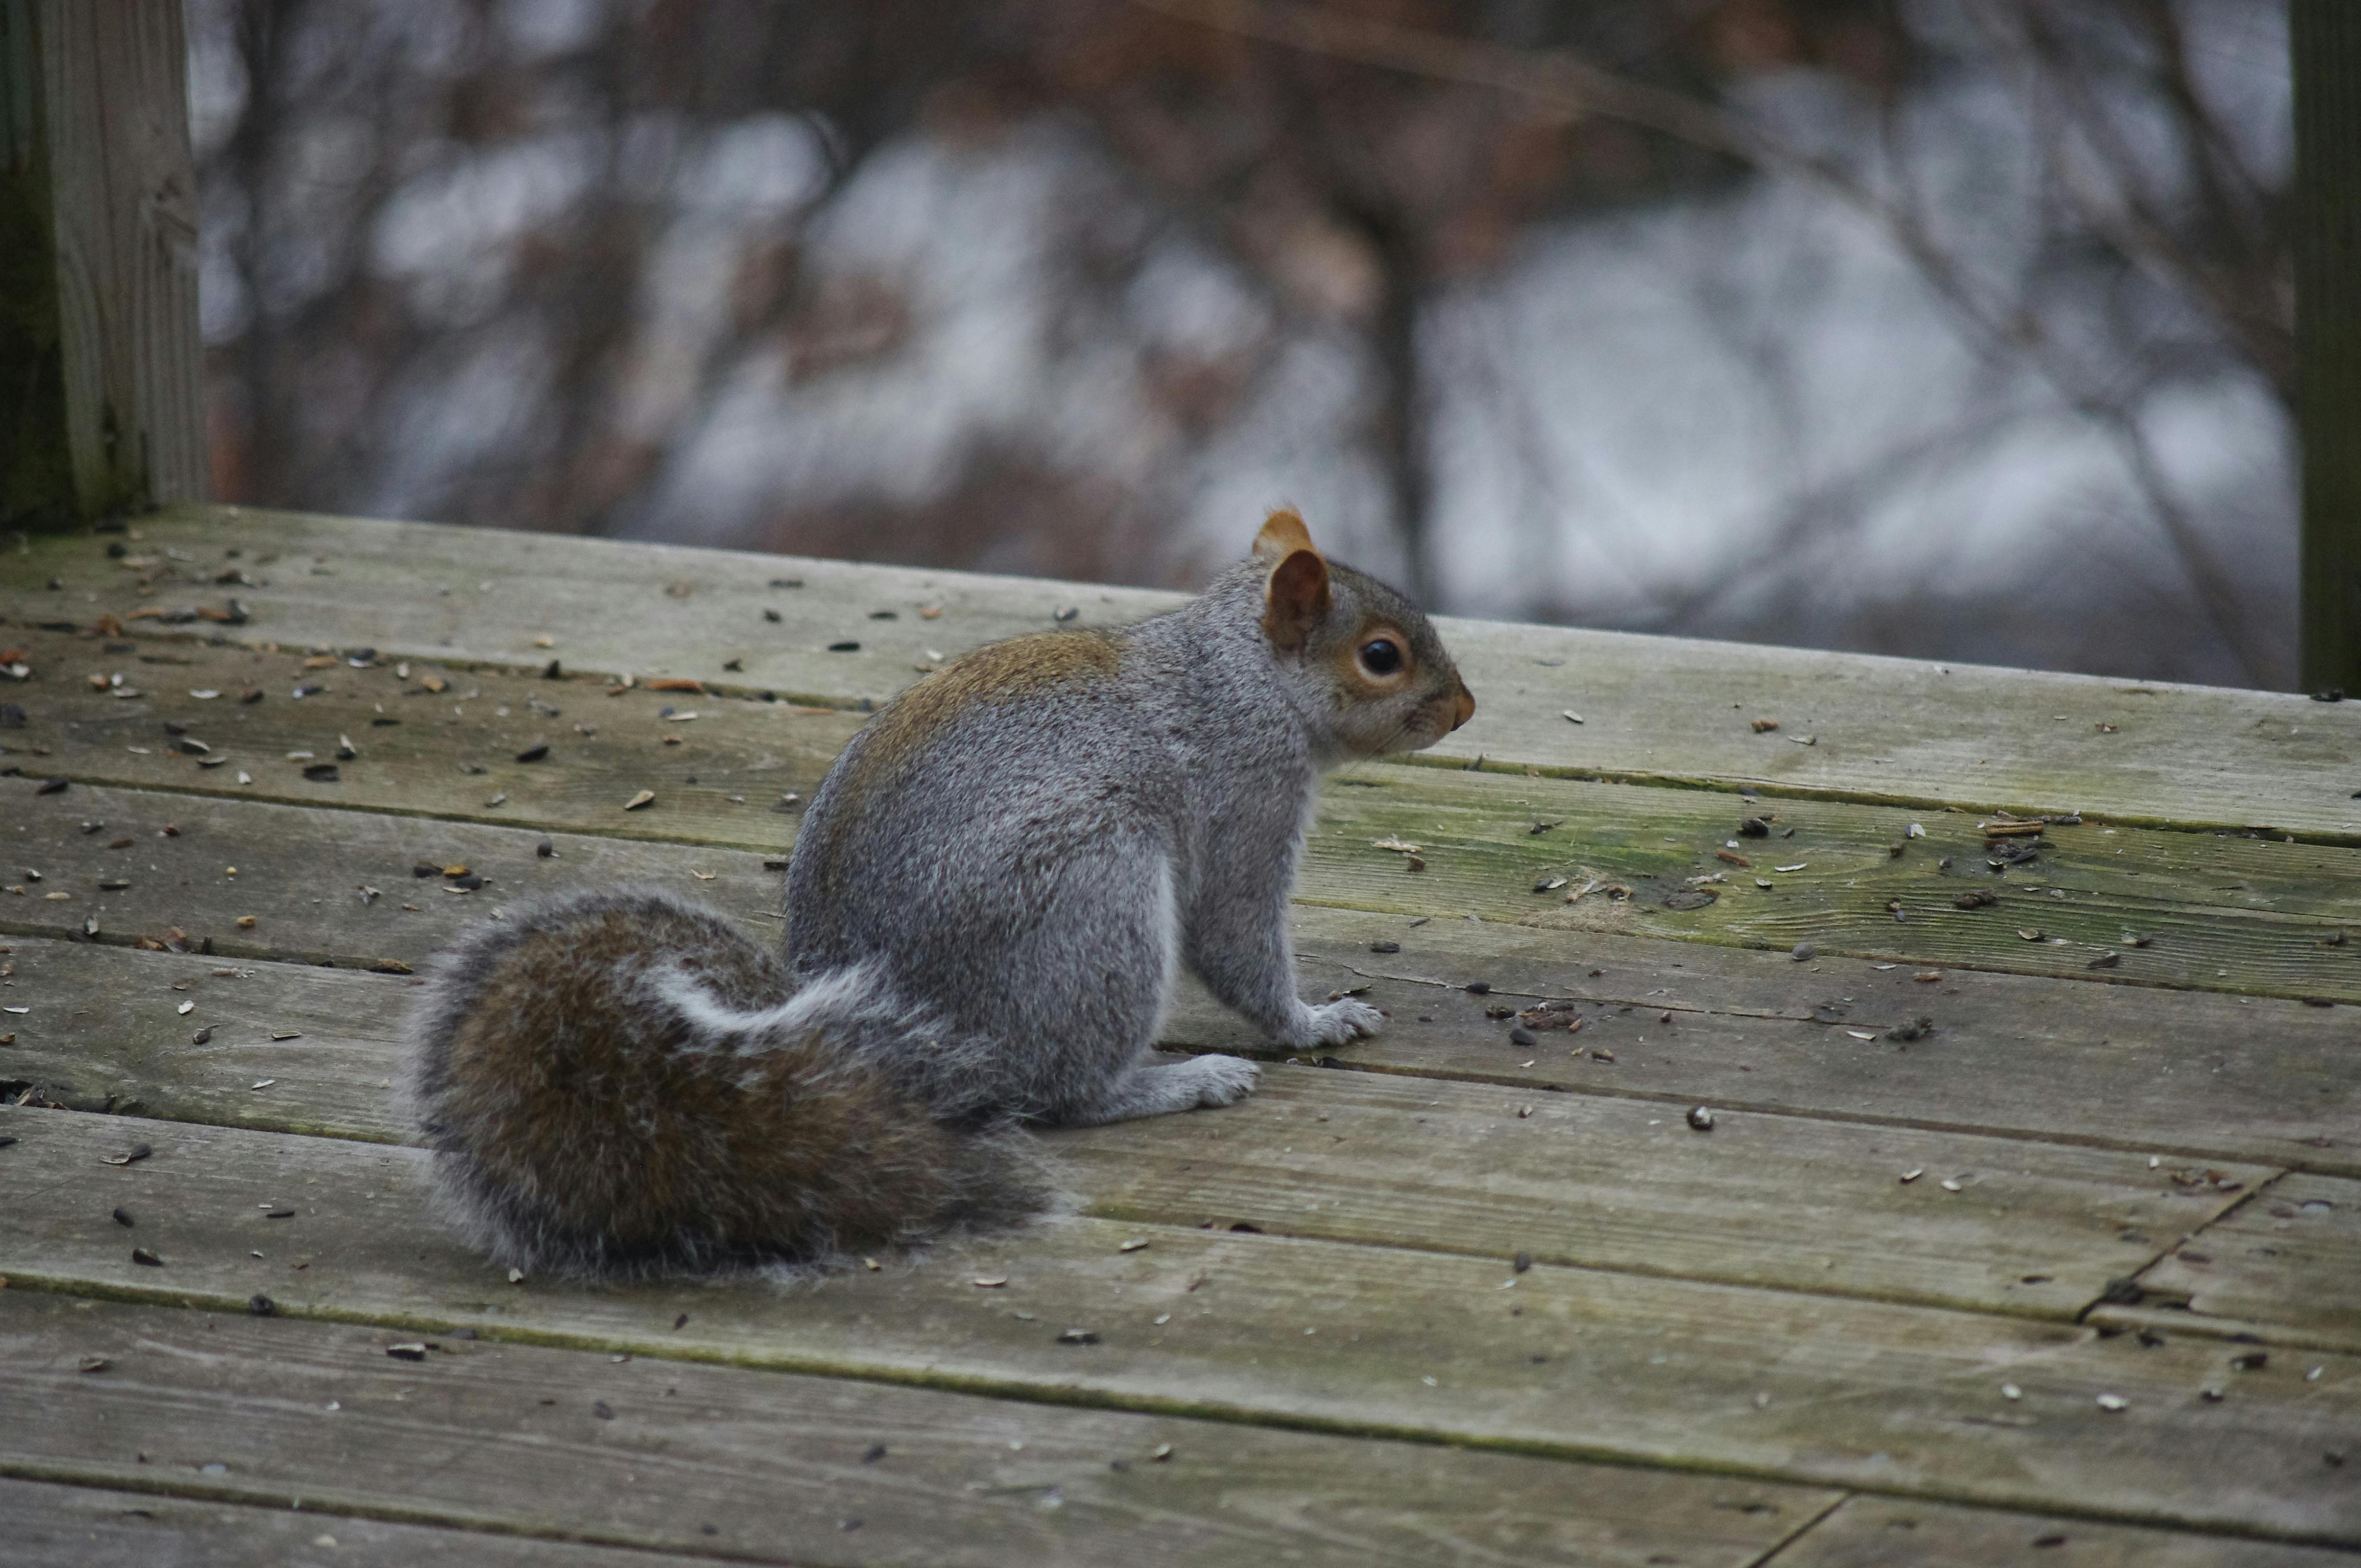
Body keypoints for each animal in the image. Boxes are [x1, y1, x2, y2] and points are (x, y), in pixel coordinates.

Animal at [406, 508, 1473, 1284]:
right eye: (1381, 655)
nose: (1464, 709)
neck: (1240, 677)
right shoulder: (1245, 797)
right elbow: (1236, 936)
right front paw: (1316, 1020)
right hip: (1091, 897)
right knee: (1058, 1092)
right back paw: (1178, 1082)